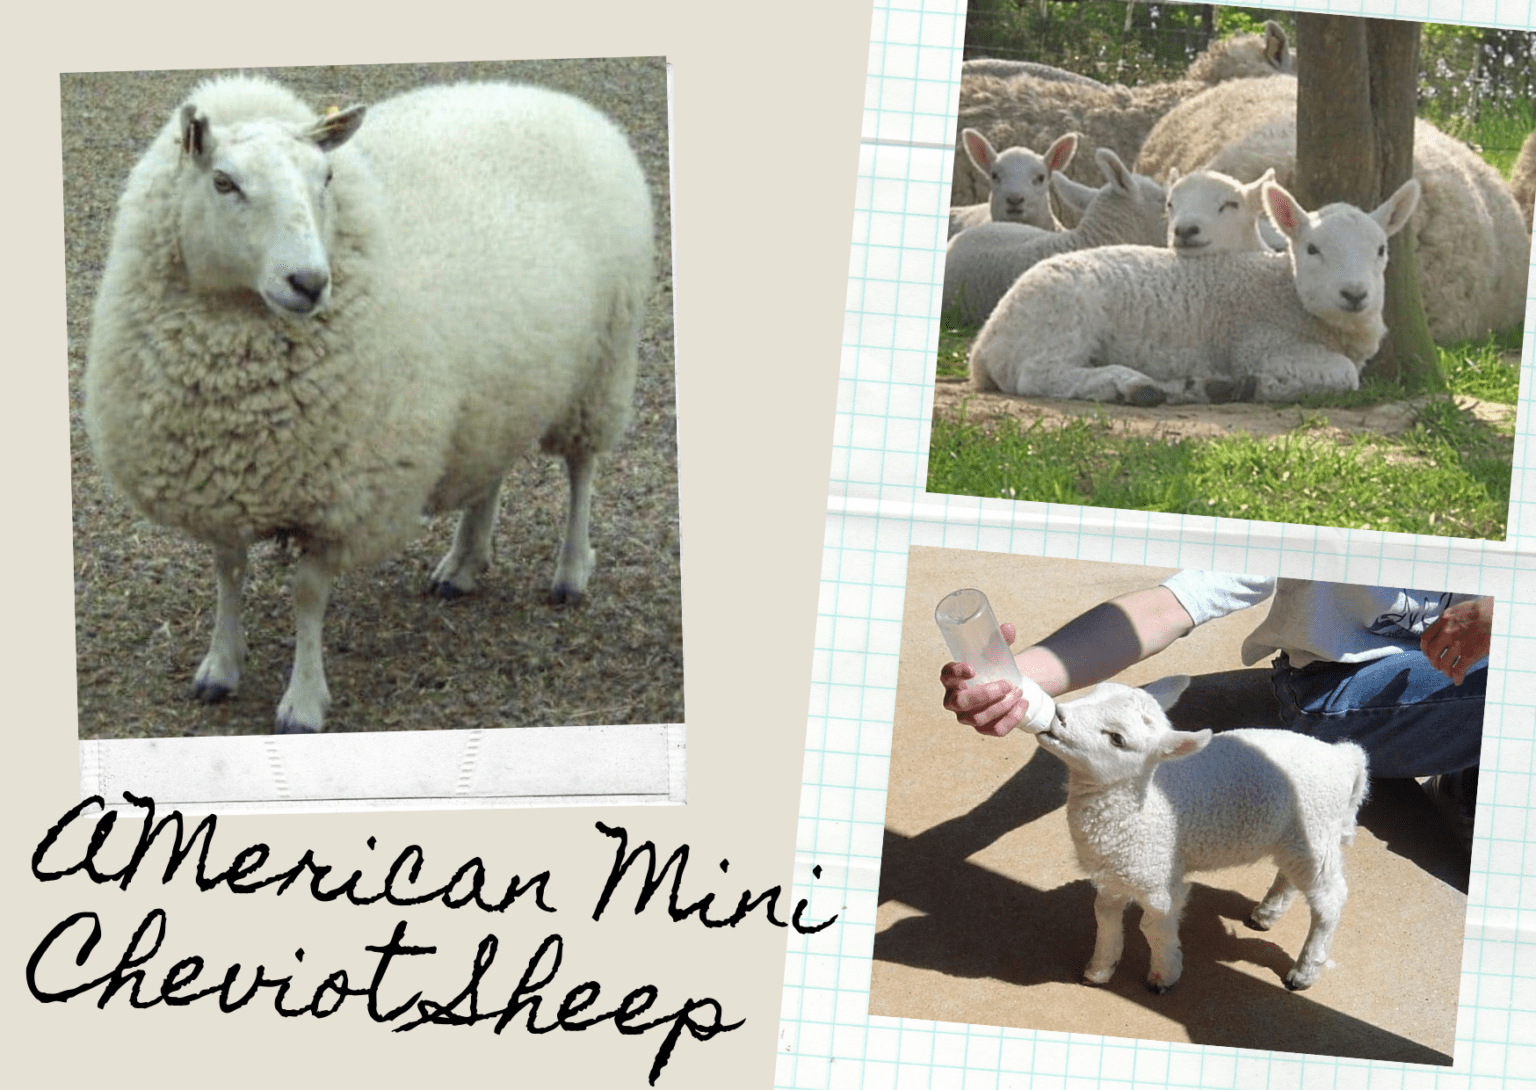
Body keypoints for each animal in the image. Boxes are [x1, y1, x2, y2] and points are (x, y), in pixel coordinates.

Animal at [83, 74, 653, 734]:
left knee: (581, 470)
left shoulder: (342, 497)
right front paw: (219, 668)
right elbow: (229, 574)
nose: (309, 282)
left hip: (603, 362)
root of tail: (550, 95)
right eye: (223, 182)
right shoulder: (226, 487)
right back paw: (464, 563)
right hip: (500, 386)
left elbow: (307, 596)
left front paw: (303, 702)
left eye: (326, 178)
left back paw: (570, 571)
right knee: (491, 471)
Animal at [968, 177, 1420, 405]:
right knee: (1037, 374)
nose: (1355, 294)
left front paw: (1236, 386)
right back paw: (1129, 385)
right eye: (1312, 249)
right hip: (1060, 317)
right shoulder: (1260, 343)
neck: (1285, 292)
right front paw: (1261, 386)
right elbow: (1345, 375)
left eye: (1381, 249)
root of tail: (984, 344)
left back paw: (1186, 388)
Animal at [1034, 676, 1369, 993]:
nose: (1057, 714)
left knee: (1330, 899)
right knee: (1291, 875)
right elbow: (1104, 915)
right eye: (1093, 692)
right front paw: (1100, 969)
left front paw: (1164, 976)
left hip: (1317, 827)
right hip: (1296, 835)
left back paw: (1304, 971)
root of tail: (1344, 757)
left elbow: (1153, 926)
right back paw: (1266, 914)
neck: (1140, 807)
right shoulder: (1116, 871)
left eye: (1117, 738)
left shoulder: (1156, 877)